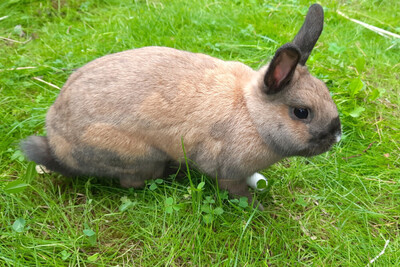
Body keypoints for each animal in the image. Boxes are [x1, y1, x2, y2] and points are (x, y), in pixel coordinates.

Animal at [21, 4, 340, 208]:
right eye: (301, 112)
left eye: (327, 92)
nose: (336, 136)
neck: (251, 113)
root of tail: (56, 146)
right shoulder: (228, 170)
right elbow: (235, 190)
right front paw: (256, 207)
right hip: (139, 155)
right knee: (131, 182)